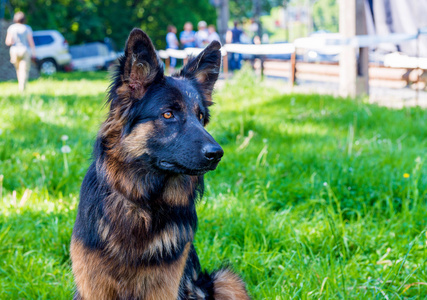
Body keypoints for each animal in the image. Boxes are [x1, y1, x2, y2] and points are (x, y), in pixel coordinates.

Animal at [70, 28, 251, 300]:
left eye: (200, 117)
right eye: (168, 114)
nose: (217, 153)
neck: (144, 202)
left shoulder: (164, 285)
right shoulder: (94, 285)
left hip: (227, 280)